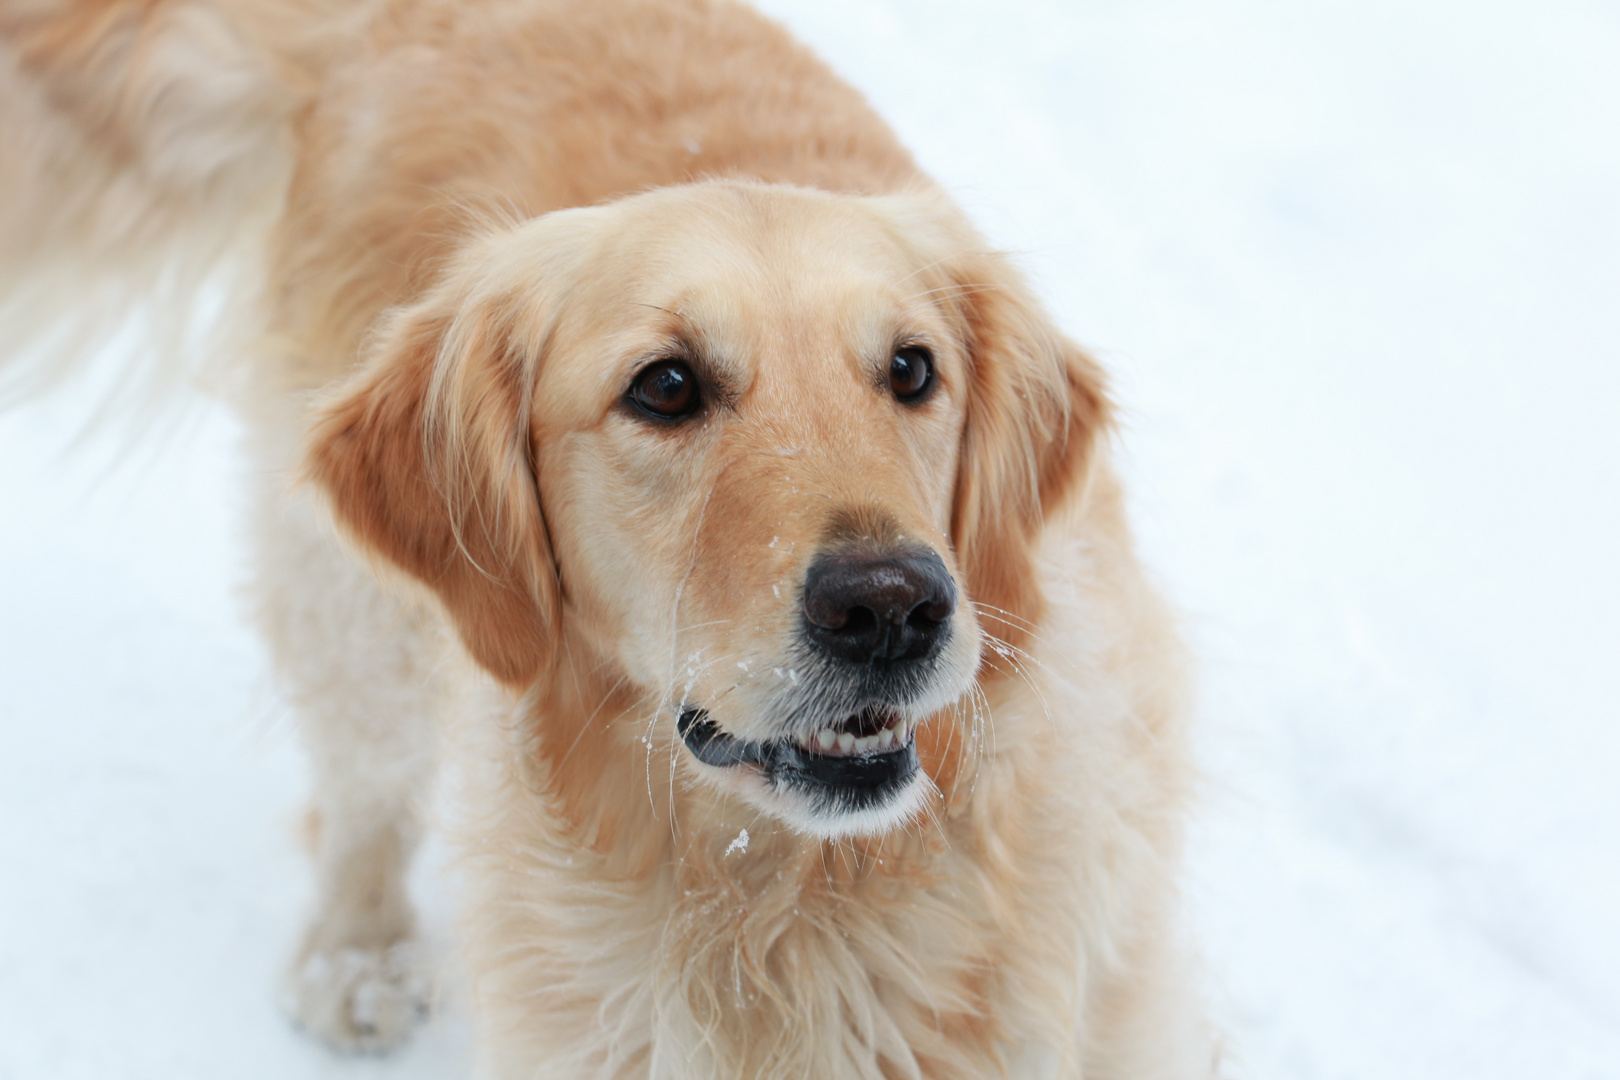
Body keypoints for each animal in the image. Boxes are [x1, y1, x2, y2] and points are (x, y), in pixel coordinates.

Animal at [0, 0, 1218, 1075]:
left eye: (913, 369)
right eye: (665, 387)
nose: (891, 607)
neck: (792, 904)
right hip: (358, 611)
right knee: (365, 789)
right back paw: (359, 960)